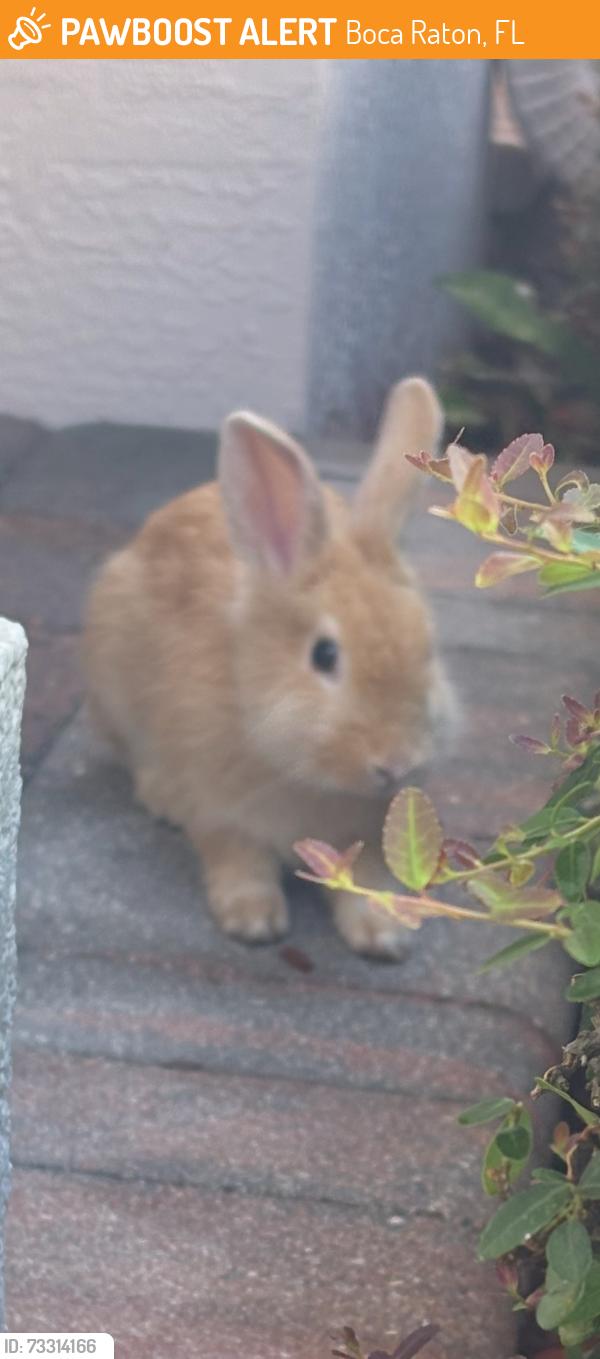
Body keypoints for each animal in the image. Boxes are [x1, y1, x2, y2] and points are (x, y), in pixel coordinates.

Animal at [83, 376, 455, 959]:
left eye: (428, 647)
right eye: (325, 656)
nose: (395, 764)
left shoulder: (366, 831)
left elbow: (364, 878)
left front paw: (382, 933)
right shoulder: (222, 812)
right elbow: (239, 863)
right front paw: (253, 921)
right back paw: (164, 798)